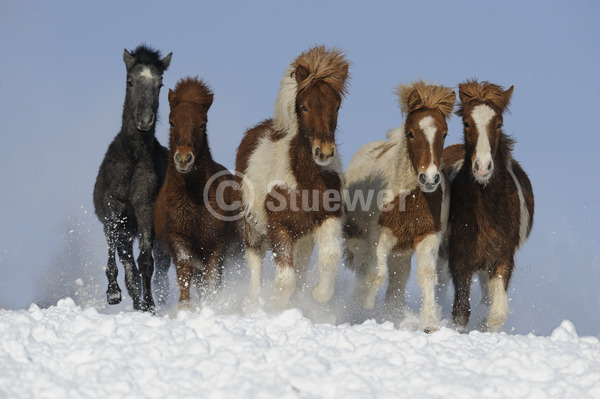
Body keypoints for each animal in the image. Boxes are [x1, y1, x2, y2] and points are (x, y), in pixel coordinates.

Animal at [92, 45, 171, 314]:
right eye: (130, 81)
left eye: (159, 84)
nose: (145, 120)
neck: (134, 156)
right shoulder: (113, 210)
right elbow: (116, 259)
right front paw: (113, 293)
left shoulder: (145, 207)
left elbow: (146, 261)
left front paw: (149, 305)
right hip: (126, 230)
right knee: (127, 264)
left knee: (160, 271)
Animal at [154, 76, 236, 310]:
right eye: (172, 122)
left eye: (202, 123)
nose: (183, 159)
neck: (195, 199)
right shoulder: (179, 237)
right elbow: (184, 270)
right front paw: (185, 306)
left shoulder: (215, 243)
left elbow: (213, 277)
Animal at [232, 46, 350, 310]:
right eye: (304, 106)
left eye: (337, 106)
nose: (324, 152)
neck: (304, 181)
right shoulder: (279, 227)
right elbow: (285, 281)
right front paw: (280, 310)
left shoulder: (327, 217)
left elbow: (329, 257)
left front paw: (318, 296)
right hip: (252, 225)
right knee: (254, 260)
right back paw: (252, 301)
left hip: (303, 237)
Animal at [342, 80, 454, 332]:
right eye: (411, 133)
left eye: (444, 133)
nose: (429, 178)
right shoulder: (380, 237)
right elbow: (376, 276)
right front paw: (363, 308)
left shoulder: (427, 236)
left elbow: (426, 275)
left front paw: (429, 322)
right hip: (359, 243)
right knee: (366, 271)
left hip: (401, 254)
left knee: (396, 285)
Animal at [440, 79, 536, 332]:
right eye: (466, 122)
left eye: (499, 124)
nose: (482, 167)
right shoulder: (459, 259)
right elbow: (461, 312)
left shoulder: (502, 259)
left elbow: (498, 312)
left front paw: (484, 327)